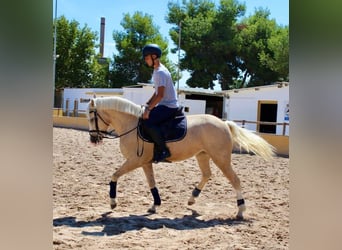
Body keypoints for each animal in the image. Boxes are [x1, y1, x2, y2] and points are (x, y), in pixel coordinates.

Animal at [87, 96, 276, 219]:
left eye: (90, 116)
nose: (93, 139)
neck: (131, 125)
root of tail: (223, 123)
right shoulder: (145, 163)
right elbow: (151, 183)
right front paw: (155, 205)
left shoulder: (135, 160)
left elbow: (114, 176)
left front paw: (113, 203)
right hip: (203, 156)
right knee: (207, 175)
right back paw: (192, 199)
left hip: (221, 158)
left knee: (235, 180)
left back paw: (240, 211)